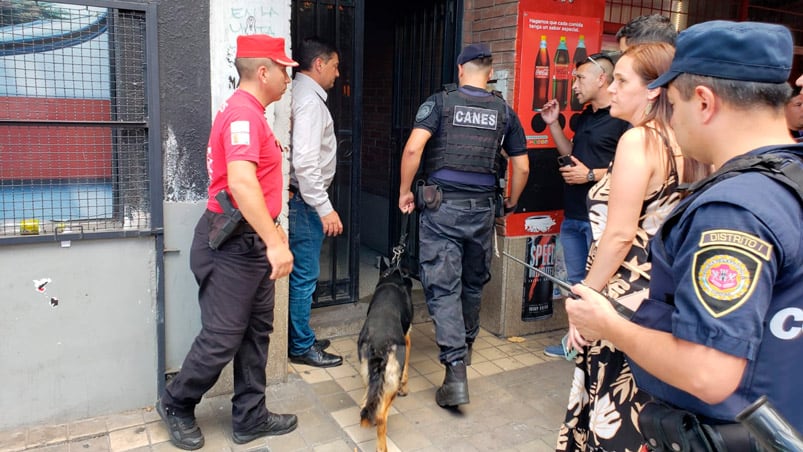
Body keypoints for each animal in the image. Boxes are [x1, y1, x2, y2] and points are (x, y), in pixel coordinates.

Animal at [362, 264, 418, 452]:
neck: (393, 276)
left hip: (370, 376)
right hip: (390, 382)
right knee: (381, 416)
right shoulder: (407, 339)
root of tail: (379, 343)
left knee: (369, 403)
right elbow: (406, 368)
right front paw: (405, 388)